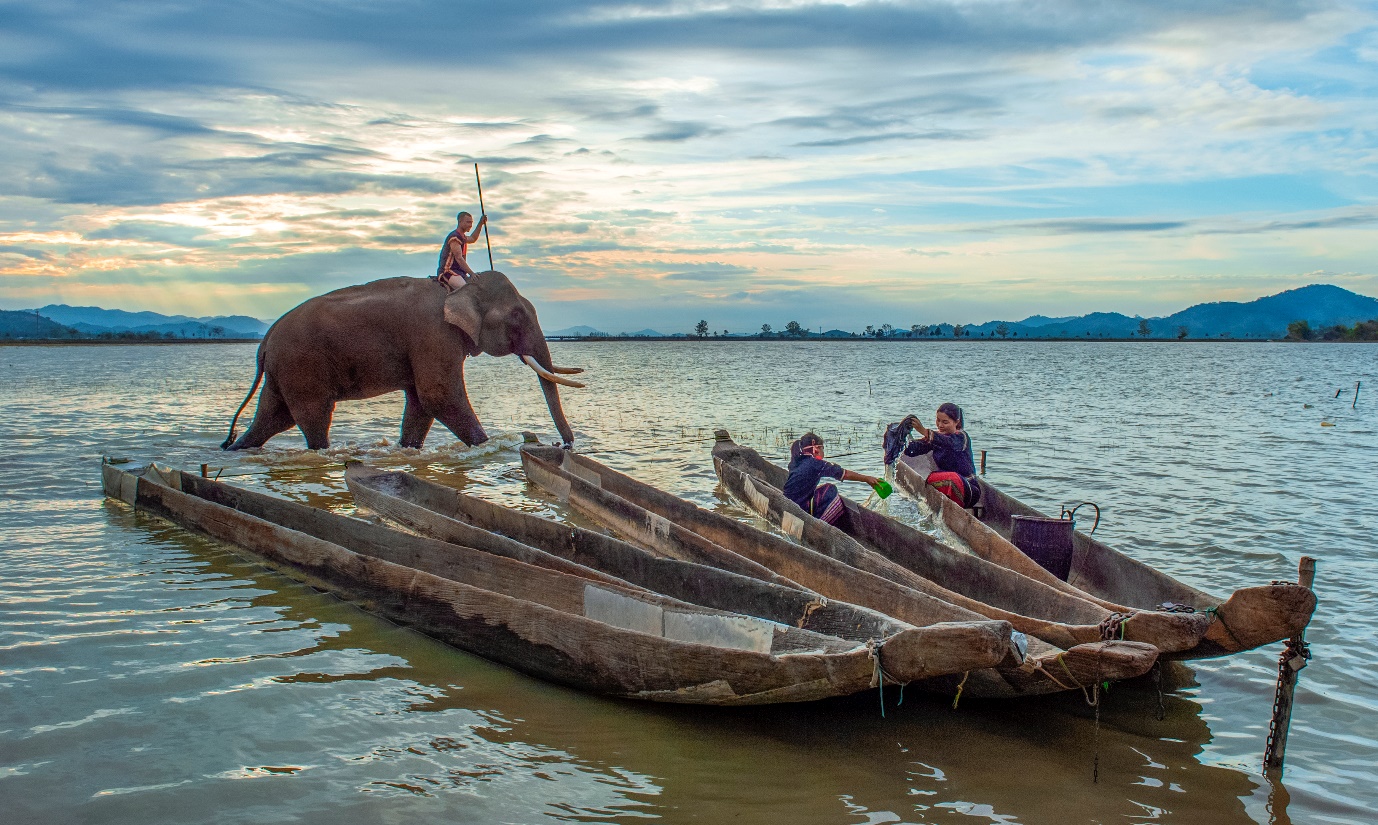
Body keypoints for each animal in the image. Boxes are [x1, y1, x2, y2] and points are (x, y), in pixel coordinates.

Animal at [219, 271, 581, 451]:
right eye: (517, 315)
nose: (563, 445)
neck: (458, 287)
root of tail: (264, 343)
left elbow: (421, 403)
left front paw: (408, 450)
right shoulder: (433, 334)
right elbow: (439, 396)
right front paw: (485, 446)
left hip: (283, 372)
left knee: (273, 418)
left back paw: (235, 449)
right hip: (302, 366)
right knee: (312, 417)